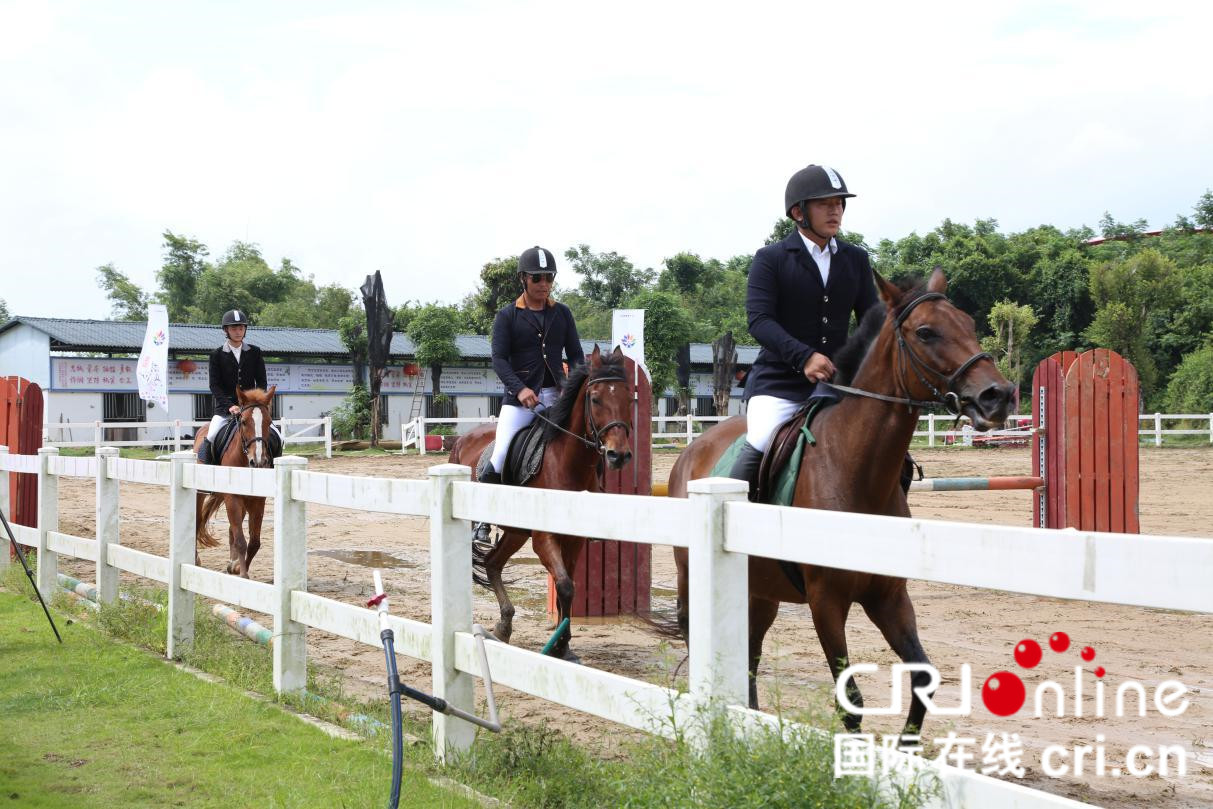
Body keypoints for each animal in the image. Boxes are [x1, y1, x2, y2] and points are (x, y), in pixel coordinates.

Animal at [191, 388, 277, 579]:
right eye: (243, 422)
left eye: (269, 422)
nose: (258, 462)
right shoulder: (232, 498)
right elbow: (240, 540)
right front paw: (243, 575)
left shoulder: (257, 500)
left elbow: (254, 542)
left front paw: (237, 567)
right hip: (201, 493)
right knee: (197, 520)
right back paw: (195, 559)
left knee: (232, 530)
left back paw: (232, 562)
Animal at [448, 344, 635, 659]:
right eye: (595, 399)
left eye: (628, 399)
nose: (617, 455)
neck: (568, 463)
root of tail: (462, 440)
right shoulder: (544, 537)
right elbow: (565, 585)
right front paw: (559, 645)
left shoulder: (573, 539)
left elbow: (567, 586)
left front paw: (564, 645)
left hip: (515, 532)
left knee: (493, 563)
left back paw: (504, 626)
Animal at [664, 269, 1014, 737]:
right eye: (925, 332)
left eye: (970, 324)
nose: (999, 395)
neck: (855, 469)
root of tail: (692, 449)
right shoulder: (826, 602)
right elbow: (851, 703)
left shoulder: (889, 597)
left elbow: (923, 677)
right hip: (694, 576)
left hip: (760, 591)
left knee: (750, 653)